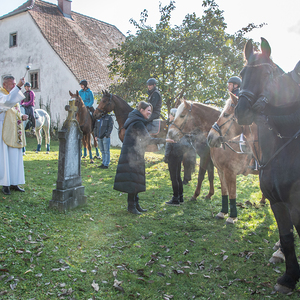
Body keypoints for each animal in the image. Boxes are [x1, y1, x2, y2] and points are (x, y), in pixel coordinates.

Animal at [207, 92, 266, 224]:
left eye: (226, 114)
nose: (210, 137)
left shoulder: (230, 173)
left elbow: (232, 194)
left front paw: (232, 217)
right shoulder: (221, 171)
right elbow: (224, 192)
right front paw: (223, 212)